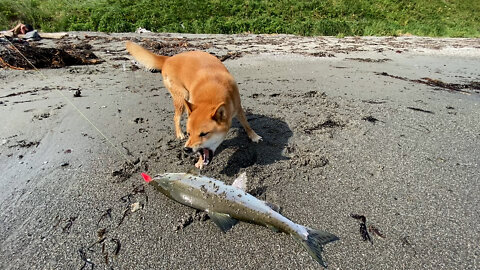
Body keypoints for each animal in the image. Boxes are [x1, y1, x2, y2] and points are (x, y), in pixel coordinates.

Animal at [125, 41, 260, 168]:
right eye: (189, 133)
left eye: (204, 134)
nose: (186, 149)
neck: (211, 95)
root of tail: (168, 59)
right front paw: (200, 161)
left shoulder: (238, 108)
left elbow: (246, 124)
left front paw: (254, 136)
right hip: (182, 96)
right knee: (176, 117)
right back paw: (179, 133)